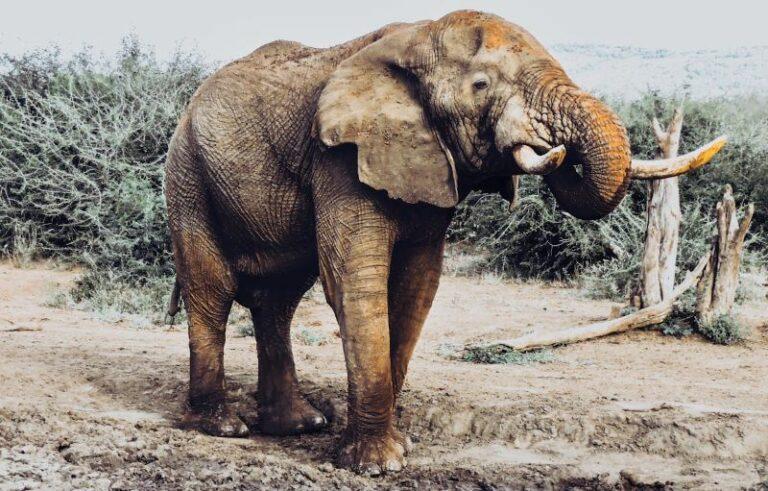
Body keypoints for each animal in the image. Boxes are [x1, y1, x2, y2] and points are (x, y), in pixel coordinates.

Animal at [164, 10, 724, 474]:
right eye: (481, 84)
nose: (556, 149)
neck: (417, 35)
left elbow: (417, 284)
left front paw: (396, 446)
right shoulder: (341, 159)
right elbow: (355, 282)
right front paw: (377, 466)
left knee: (278, 299)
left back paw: (300, 425)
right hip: (186, 175)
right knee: (214, 290)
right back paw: (223, 426)